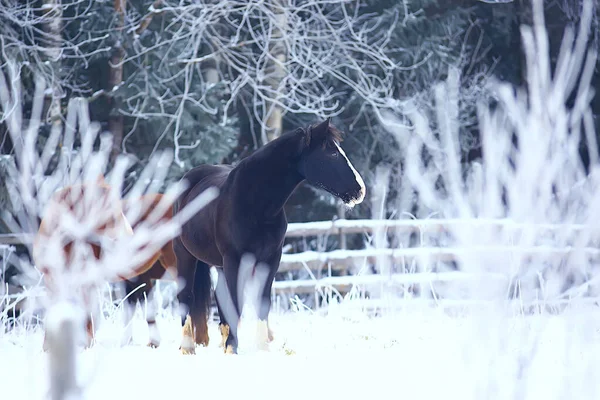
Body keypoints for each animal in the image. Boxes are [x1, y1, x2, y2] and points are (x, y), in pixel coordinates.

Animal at [171, 118, 364, 354]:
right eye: (333, 153)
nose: (360, 190)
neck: (255, 204)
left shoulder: (270, 260)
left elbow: (262, 302)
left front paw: (260, 347)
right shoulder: (235, 260)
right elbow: (235, 303)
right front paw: (233, 349)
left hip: (219, 264)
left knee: (218, 296)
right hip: (185, 255)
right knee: (186, 297)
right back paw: (188, 347)